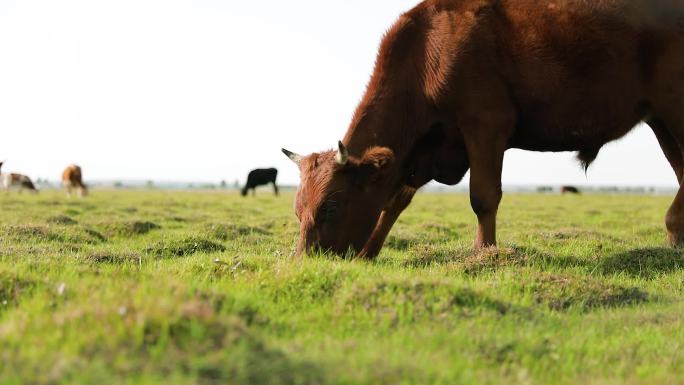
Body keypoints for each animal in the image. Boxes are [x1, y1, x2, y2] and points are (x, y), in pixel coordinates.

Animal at [282, 0, 684, 258]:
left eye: (332, 205)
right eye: (298, 208)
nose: (304, 263)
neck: (427, 52)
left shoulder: (486, 124)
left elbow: (483, 196)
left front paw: (485, 253)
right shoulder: (427, 148)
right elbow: (395, 201)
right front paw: (368, 252)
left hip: (673, 110)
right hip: (661, 121)